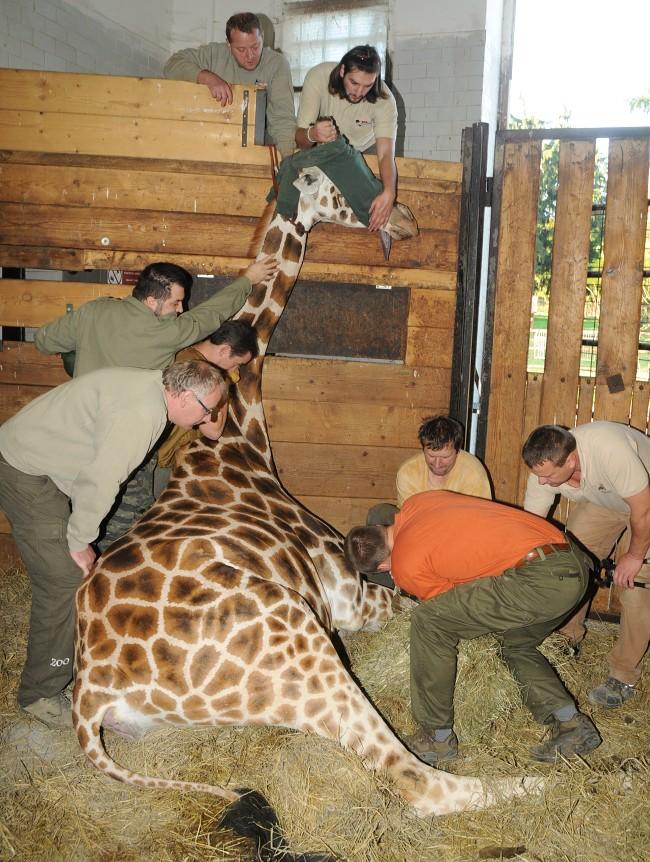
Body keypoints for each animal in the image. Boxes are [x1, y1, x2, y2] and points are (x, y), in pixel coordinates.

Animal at [71, 167, 540, 816]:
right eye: (343, 176)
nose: (406, 219)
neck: (236, 430)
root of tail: (91, 693)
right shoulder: (349, 596)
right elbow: (415, 604)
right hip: (297, 637)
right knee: (421, 783)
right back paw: (545, 779)